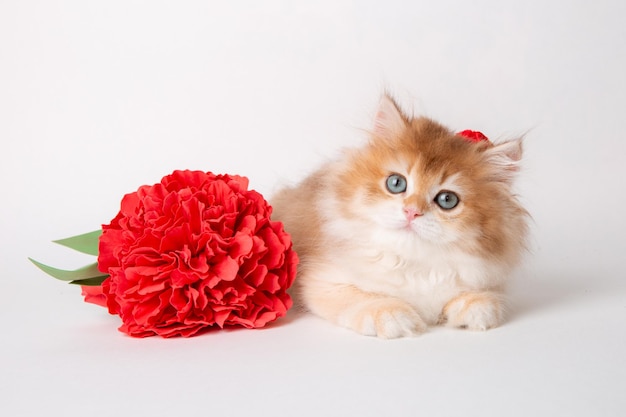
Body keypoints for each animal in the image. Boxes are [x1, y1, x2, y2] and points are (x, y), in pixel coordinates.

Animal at [270, 92, 528, 336]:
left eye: (447, 200)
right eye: (396, 183)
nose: (412, 211)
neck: (411, 262)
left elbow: (482, 298)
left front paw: (477, 307)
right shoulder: (322, 281)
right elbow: (363, 298)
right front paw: (392, 316)